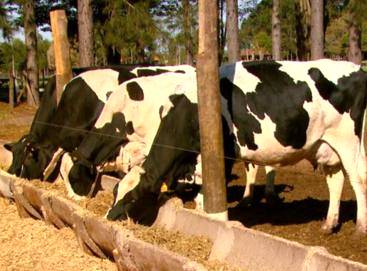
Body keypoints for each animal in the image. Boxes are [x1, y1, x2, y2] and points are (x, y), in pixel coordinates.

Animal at [106, 60, 367, 235]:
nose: (109, 217)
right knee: (336, 181)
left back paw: (361, 227)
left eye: (132, 198)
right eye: (115, 190)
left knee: (358, 179)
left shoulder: (222, 157)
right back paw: (329, 224)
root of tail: (355, 67)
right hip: (325, 145)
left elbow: (207, 198)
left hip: (349, 141)